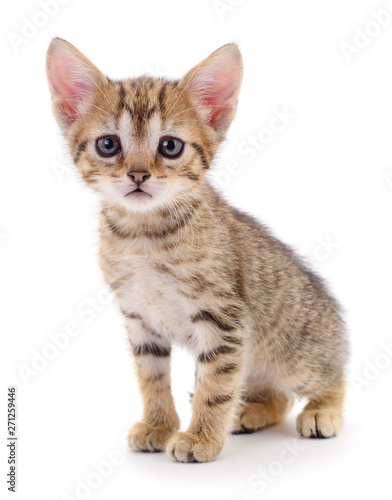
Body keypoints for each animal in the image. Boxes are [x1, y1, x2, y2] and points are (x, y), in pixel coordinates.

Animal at [46, 37, 350, 462]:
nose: (137, 174)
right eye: (108, 145)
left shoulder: (224, 321)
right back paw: (248, 412)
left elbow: (215, 386)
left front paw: (201, 437)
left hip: (294, 353)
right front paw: (159, 425)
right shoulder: (139, 319)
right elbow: (152, 378)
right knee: (277, 398)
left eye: (170, 146)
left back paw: (323, 411)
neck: (144, 237)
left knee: (329, 376)